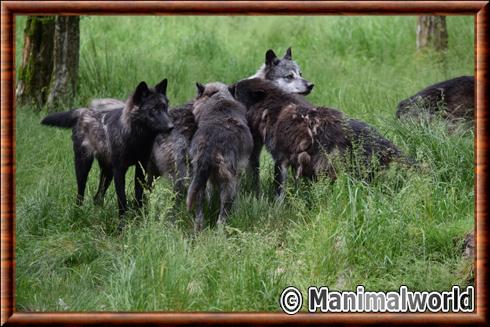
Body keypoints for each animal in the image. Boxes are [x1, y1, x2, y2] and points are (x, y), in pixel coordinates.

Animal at [41, 80, 174, 228]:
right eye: (154, 110)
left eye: (165, 108)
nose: (171, 127)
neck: (135, 140)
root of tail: (84, 111)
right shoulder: (119, 172)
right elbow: (122, 202)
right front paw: (122, 227)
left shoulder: (140, 170)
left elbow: (138, 198)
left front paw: (138, 221)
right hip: (83, 168)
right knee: (80, 196)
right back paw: (78, 215)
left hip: (107, 173)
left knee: (97, 198)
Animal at [185, 83, 253, 234]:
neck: (218, 96)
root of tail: (210, 146)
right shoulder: (238, 174)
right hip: (228, 184)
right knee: (222, 216)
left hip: (199, 183)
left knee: (199, 213)